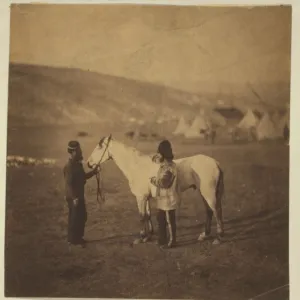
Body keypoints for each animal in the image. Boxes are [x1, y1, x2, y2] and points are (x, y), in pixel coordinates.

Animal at [85, 135, 224, 244]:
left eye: (99, 147)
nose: (88, 163)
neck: (136, 166)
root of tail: (216, 163)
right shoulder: (145, 197)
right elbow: (147, 215)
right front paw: (148, 236)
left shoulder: (140, 197)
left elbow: (142, 216)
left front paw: (141, 237)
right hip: (204, 193)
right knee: (209, 211)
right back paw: (204, 235)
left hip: (208, 193)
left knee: (216, 211)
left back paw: (218, 237)